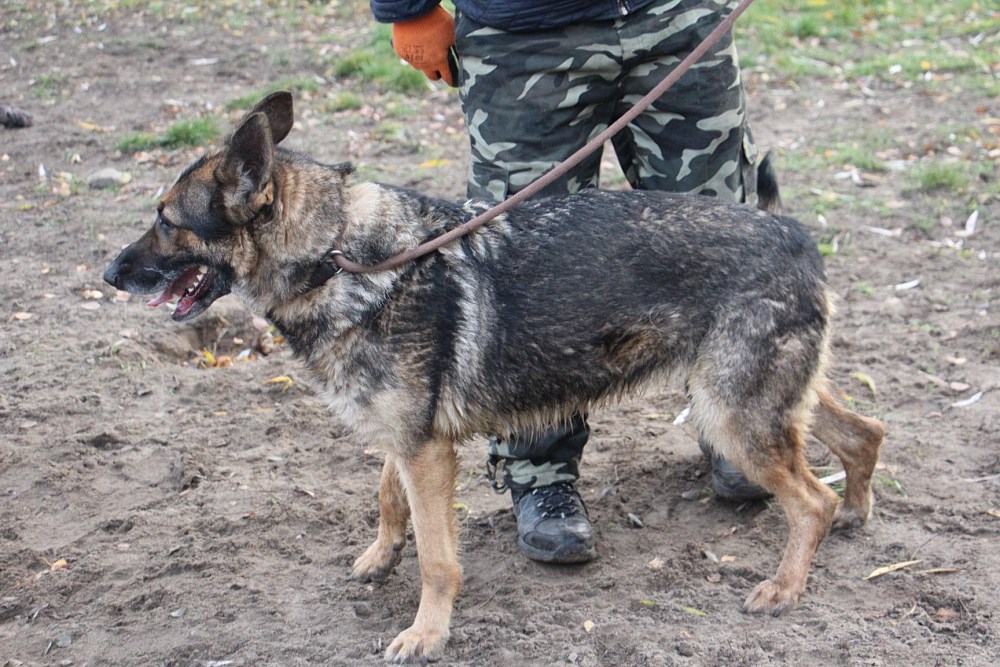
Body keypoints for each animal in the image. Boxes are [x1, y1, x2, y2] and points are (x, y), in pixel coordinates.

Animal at [104, 92, 884, 663]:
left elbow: (436, 559)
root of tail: (792, 232)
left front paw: (427, 632)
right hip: (759, 402)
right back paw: (854, 514)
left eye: (167, 221)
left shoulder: (424, 451)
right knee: (865, 433)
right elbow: (386, 497)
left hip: (731, 415)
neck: (338, 255)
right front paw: (379, 555)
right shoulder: (407, 438)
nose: (109, 273)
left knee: (810, 498)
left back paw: (785, 586)